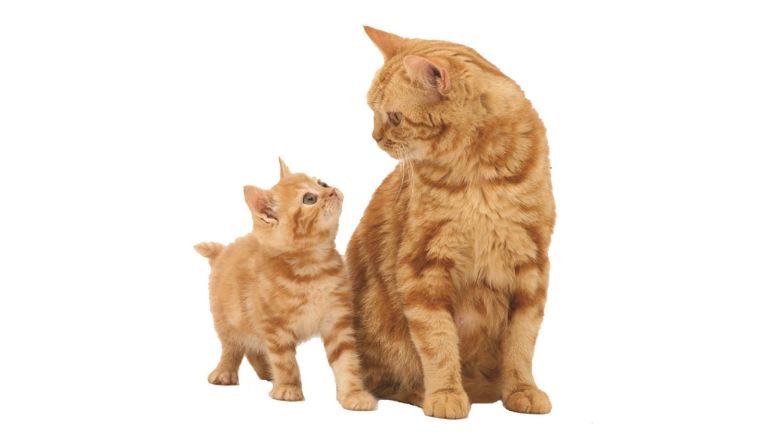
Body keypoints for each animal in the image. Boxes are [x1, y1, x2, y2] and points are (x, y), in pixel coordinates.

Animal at [195, 160, 378, 412]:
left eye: (322, 183)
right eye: (309, 199)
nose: (333, 190)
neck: (312, 267)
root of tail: (223, 251)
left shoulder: (337, 321)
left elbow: (347, 362)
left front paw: (353, 394)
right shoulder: (275, 327)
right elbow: (285, 362)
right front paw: (288, 388)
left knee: (254, 348)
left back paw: (266, 372)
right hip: (228, 320)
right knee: (232, 347)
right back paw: (225, 372)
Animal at [348, 26, 560, 418]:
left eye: (394, 117)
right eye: (372, 111)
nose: (375, 138)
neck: (478, 174)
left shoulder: (531, 264)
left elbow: (521, 342)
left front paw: (521, 390)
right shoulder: (423, 266)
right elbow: (438, 342)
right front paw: (445, 394)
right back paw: (425, 392)